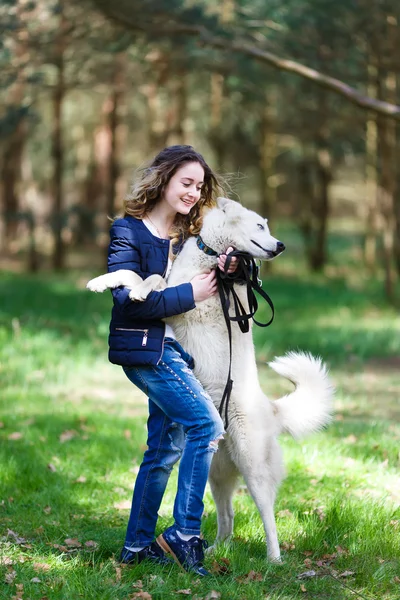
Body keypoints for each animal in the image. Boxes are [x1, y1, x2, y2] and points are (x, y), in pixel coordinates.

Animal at [88, 199, 334, 560]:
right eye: (260, 226)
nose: (280, 246)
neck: (212, 256)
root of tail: (272, 409)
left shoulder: (182, 303)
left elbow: (151, 278)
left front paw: (136, 290)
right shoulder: (173, 287)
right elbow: (139, 274)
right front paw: (104, 281)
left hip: (253, 469)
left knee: (268, 515)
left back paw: (273, 559)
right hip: (216, 475)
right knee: (227, 516)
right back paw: (217, 550)